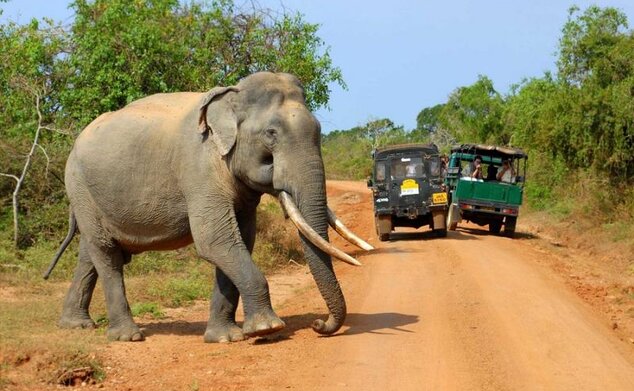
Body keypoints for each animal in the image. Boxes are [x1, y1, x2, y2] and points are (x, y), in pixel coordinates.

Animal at [45, 72, 370, 344]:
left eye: (318, 130)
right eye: (271, 134)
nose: (319, 324)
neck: (231, 97)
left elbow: (241, 240)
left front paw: (226, 338)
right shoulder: (199, 168)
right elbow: (215, 240)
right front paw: (267, 329)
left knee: (90, 252)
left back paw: (76, 325)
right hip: (79, 185)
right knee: (106, 253)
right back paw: (128, 336)